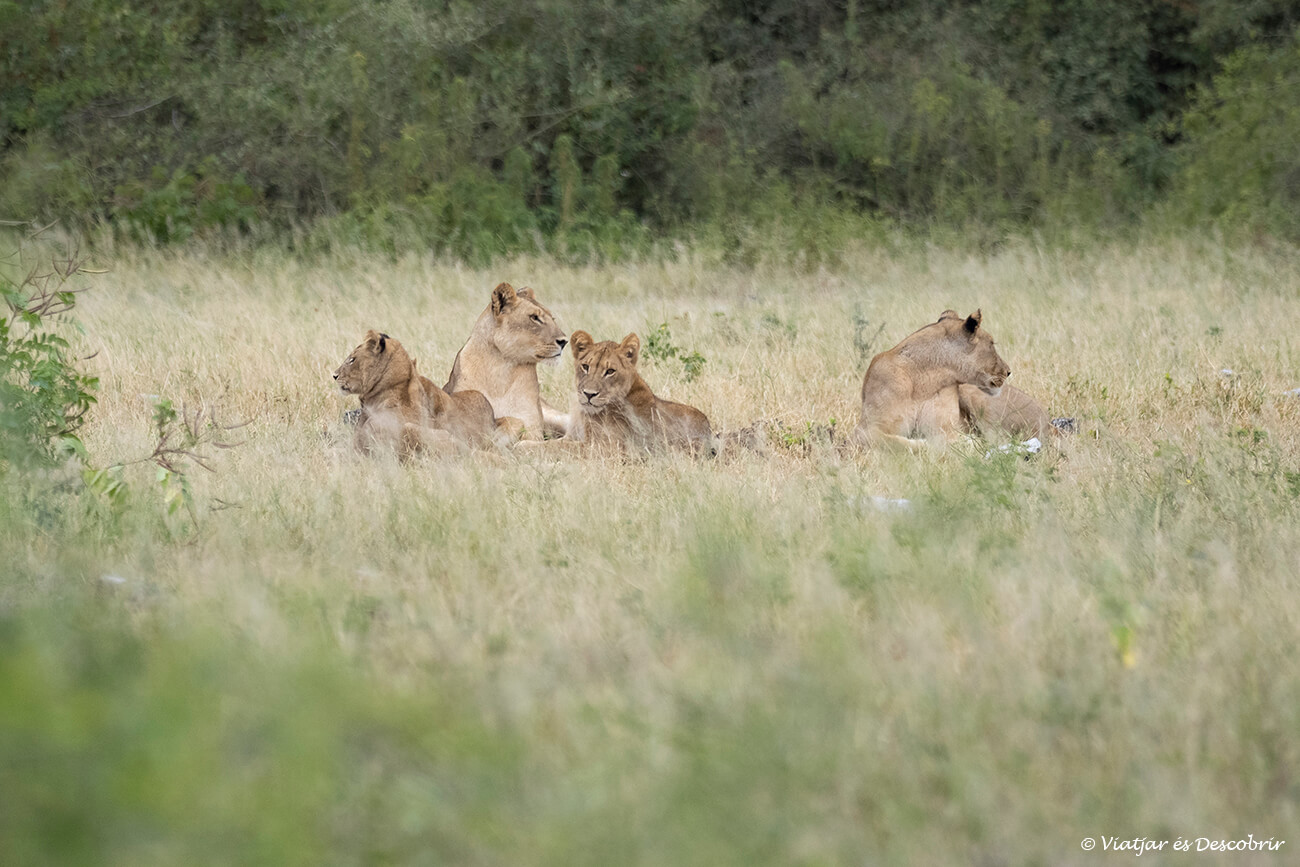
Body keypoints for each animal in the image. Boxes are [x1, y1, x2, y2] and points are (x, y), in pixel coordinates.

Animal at [853, 309, 1011, 450]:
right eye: (991, 344)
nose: (1009, 371)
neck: (925, 380)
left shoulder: (945, 428)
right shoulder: (865, 430)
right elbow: (896, 442)